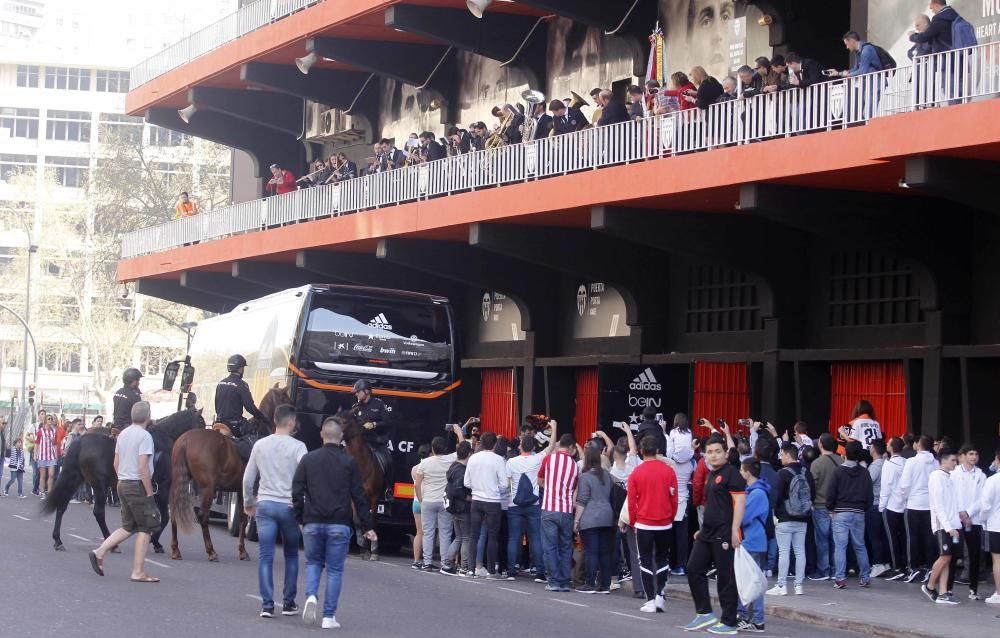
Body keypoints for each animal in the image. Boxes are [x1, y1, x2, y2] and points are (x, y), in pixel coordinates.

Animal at [44, 410, 204, 556]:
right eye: (201, 423)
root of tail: (81, 441)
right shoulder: (162, 491)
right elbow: (164, 518)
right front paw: (155, 541)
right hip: (100, 486)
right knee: (98, 512)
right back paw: (111, 543)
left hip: (76, 480)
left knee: (62, 506)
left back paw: (58, 540)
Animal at [168, 384, 290, 560]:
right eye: (288, 401)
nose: (297, 426)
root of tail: (186, 440)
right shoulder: (249, 490)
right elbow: (244, 518)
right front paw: (243, 550)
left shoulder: (240, 489)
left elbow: (243, 518)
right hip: (207, 488)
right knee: (203, 516)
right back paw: (211, 551)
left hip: (179, 482)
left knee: (174, 512)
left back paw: (175, 549)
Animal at [336, 410, 382, 560]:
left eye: (344, 421)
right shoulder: (353, 497)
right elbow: (357, 521)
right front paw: (363, 547)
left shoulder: (374, 496)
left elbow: (372, 520)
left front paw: (374, 550)